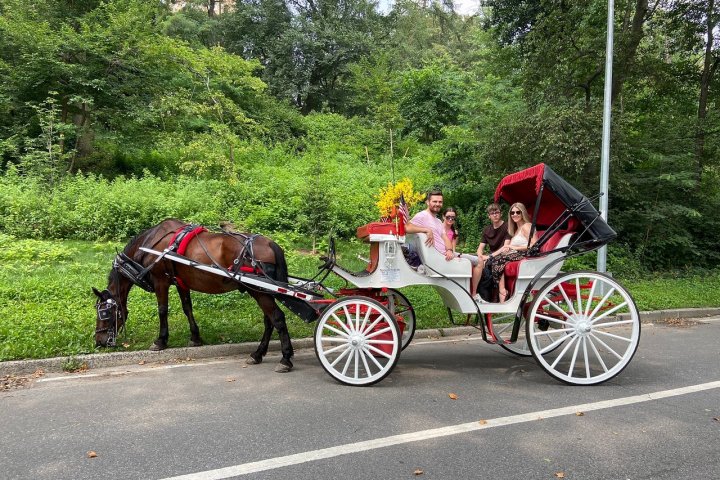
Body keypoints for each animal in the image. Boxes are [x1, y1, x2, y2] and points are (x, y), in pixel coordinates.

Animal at [92, 218, 295, 372]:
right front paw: (195, 337)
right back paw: (258, 354)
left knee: (277, 318)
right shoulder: (181, 282)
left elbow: (162, 310)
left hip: (259, 291)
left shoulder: (160, 281)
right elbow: (187, 307)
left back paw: (285, 359)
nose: (99, 341)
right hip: (261, 291)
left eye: (104, 313)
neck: (151, 244)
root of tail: (270, 243)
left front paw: (161, 341)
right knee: (269, 321)